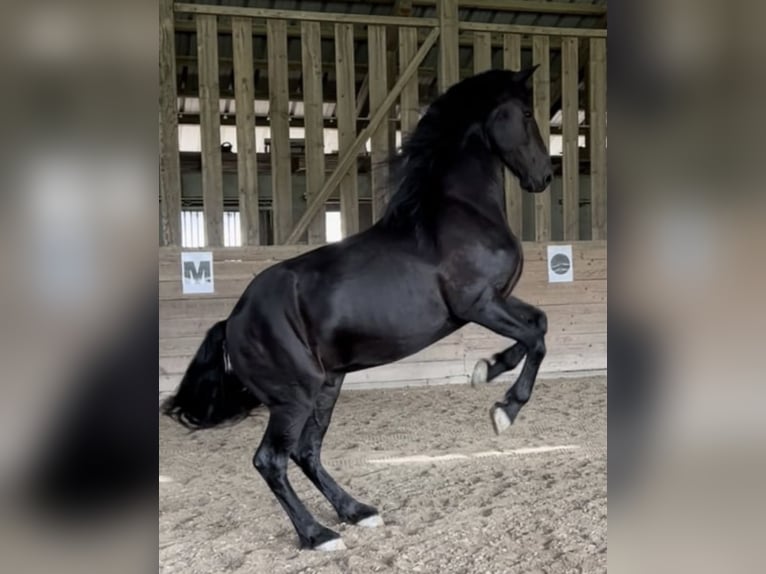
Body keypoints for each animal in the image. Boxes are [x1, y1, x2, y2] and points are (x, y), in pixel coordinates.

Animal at [165, 67, 556, 552]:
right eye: (526, 113)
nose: (545, 175)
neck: (459, 212)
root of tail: (233, 321)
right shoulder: (479, 303)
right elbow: (535, 338)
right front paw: (504, 411)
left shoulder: (497, 300)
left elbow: (537, 325)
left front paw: (487, 369)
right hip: (294, 397)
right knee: (271, 460)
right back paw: (318, 535)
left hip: (328, 386)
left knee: (306, 452)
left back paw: (357, 511)